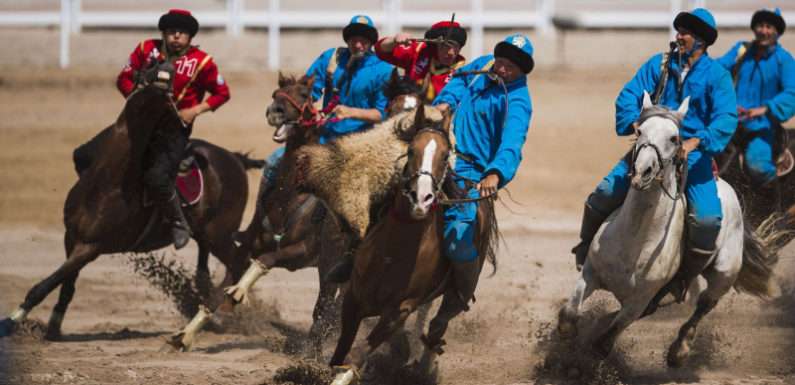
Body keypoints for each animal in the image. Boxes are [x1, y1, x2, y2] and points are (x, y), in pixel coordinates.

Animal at [0, 60, 255, 340]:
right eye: (147, 72)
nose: (180, 119)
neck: (107, 181)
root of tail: (234, 158)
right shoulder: (71, 237)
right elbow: (66, 285)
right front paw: (54, 326)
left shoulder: (90, 247)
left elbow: (45, 284)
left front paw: (10, 321)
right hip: (206, 234)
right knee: (206, 269)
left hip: (220, 234)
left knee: (238, 264)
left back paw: (214, 310)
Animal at [330, 103, 498, 382]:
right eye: (410, 150)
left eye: (445, 156)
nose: (422, 198)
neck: (393, 253)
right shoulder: (353, 298)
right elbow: (340, 351)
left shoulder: (399, 311)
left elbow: (357, 355)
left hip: (456, 295)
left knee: (438, 326)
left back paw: (423, 367)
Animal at [556, 92, 780, 366]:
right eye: (639, 131)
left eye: (675, 138)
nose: (643, 171)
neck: (634, 240)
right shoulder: (590, 272)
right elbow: (569, 316)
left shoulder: (638, 301)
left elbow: (604, 341)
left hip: (724, 273)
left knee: (705, 305)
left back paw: (679, 350)